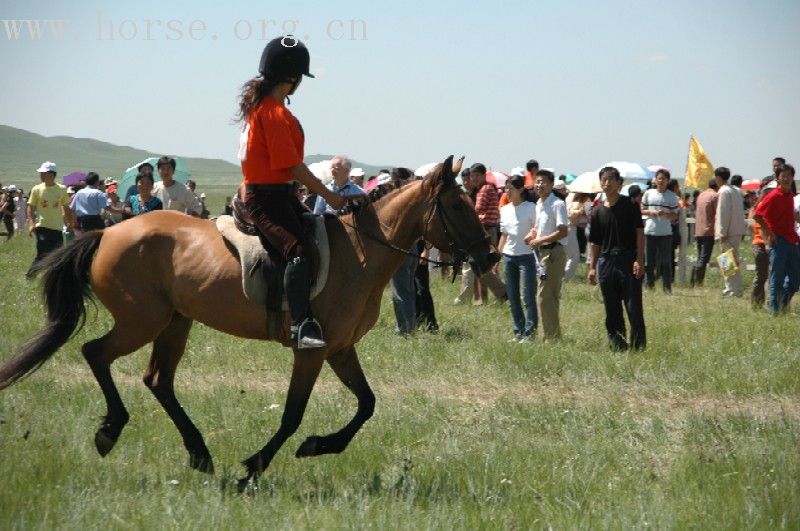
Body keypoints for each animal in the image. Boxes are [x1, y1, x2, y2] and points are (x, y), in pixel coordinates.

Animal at [0, 155, 496, 486]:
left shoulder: (340, 349)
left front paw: (319, 446)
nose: (490, 256)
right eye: (456, 206)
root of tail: (107, 232)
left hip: (174, 321)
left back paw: (198, 453)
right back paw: (111, 430)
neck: (360, 252)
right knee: (96, 353)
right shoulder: (312, 351)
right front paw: (253, 468)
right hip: (142, 320)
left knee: (158, 379)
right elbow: (293, 415)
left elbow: (367, 404)